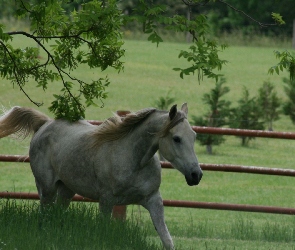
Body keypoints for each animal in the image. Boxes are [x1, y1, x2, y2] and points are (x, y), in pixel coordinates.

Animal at [0, 103, 202, 250]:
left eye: (194, 136)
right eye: (176, 138)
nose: (196, 175)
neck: (133, 160)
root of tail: (45, 123)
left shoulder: (153, 199)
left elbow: (166, 239)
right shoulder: (106, 200)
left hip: (66, 190)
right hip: (46, 189)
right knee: (44, 216)